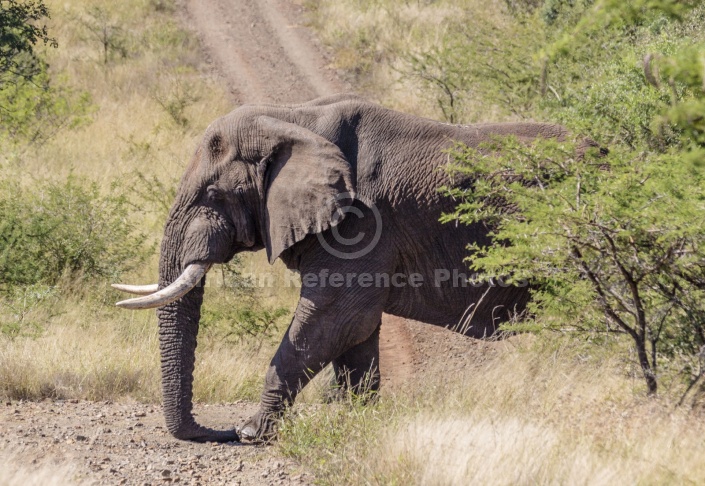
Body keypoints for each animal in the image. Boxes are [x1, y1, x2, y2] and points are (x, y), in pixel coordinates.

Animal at [111, 93, 584, 442]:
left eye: (213, 195)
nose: (215, 432)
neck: (291, 118)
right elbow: (355, 333)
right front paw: (352, 418)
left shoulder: (362, 223)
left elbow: (333, 319)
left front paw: (252, 432)